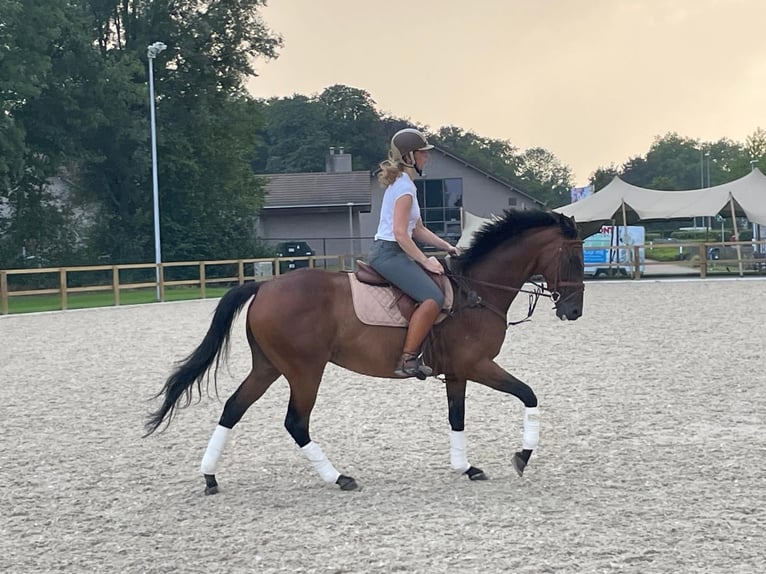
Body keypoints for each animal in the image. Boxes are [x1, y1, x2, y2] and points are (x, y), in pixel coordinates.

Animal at [147, 210, 584, 496]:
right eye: (573, 257)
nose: (574, 311)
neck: (477, 291)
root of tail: (265, 286)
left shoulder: (459, 372)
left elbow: (456, 417)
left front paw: (466, 467)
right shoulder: (478, 365)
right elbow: (528, 394)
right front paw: (522, 456)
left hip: (268, 366)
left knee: (233, 408)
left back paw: (210, 477)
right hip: (305, 371)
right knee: (296, 423)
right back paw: (339, 478)